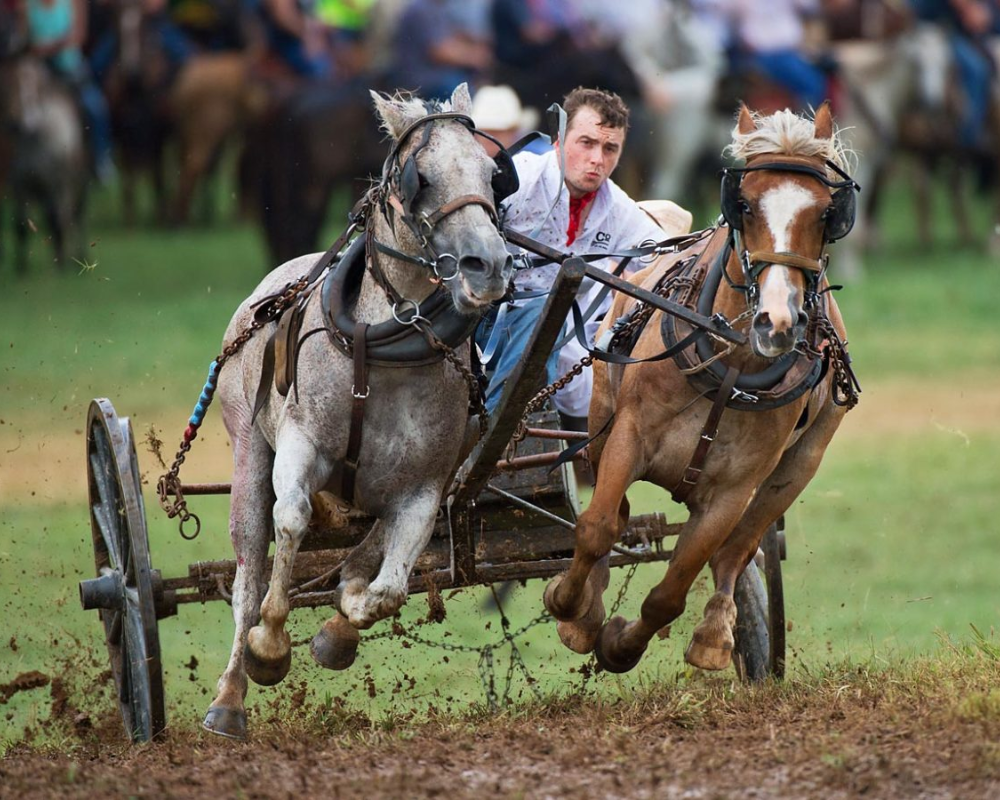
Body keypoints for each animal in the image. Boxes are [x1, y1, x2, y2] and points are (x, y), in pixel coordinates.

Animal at [544, 100, 856, 676]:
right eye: (744, 205)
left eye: (828, 213)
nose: (776, 323)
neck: (730, 365)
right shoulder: (628, 435)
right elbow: (597, 527)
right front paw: (573, 610)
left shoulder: (732, 490)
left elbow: (675, 588)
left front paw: (620, 644)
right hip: (600, 416)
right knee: (615, 516)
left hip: (798, 467)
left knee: (737, 552)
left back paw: (717, 631)